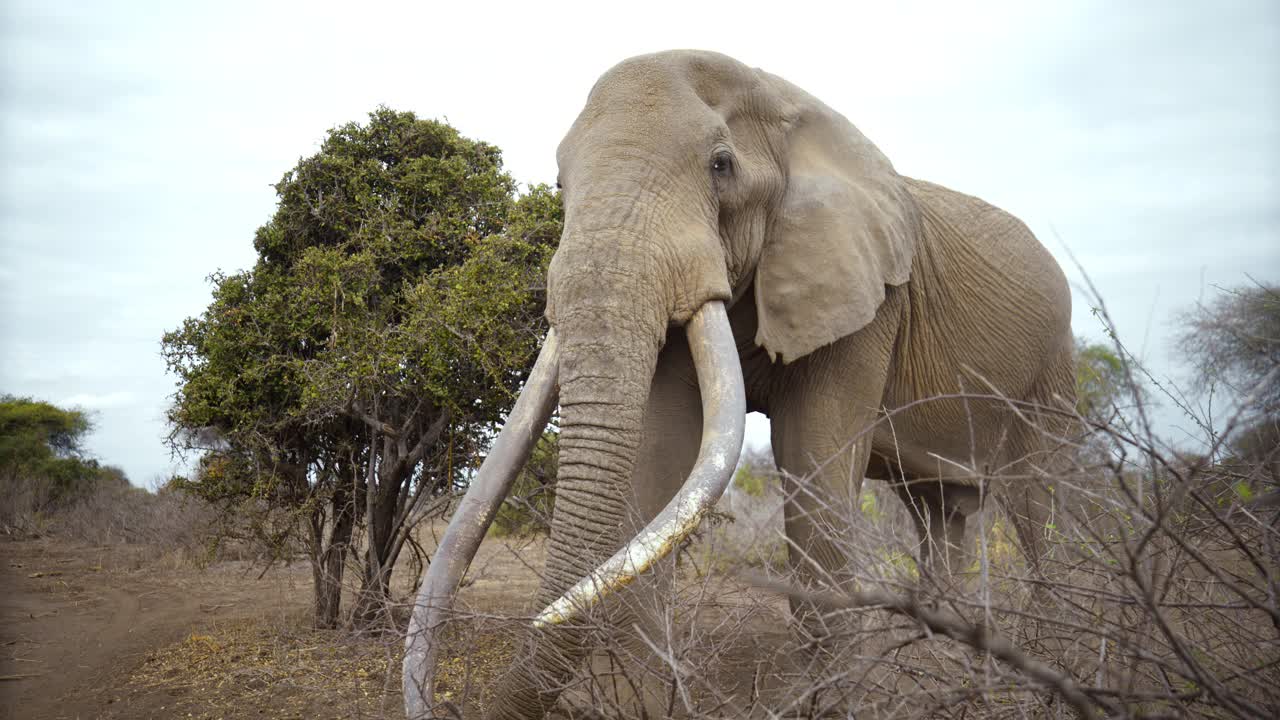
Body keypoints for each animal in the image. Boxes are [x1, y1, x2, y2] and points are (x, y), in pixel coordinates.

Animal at [401, 50, 1080, 717]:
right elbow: (663, 463)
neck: (783, 101)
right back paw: (944, 677)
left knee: (1041, 503)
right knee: (941, 512)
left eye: (720, 165)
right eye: (561, 183)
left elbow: (813, 470)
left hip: (1050, 367)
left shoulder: (870, 303)